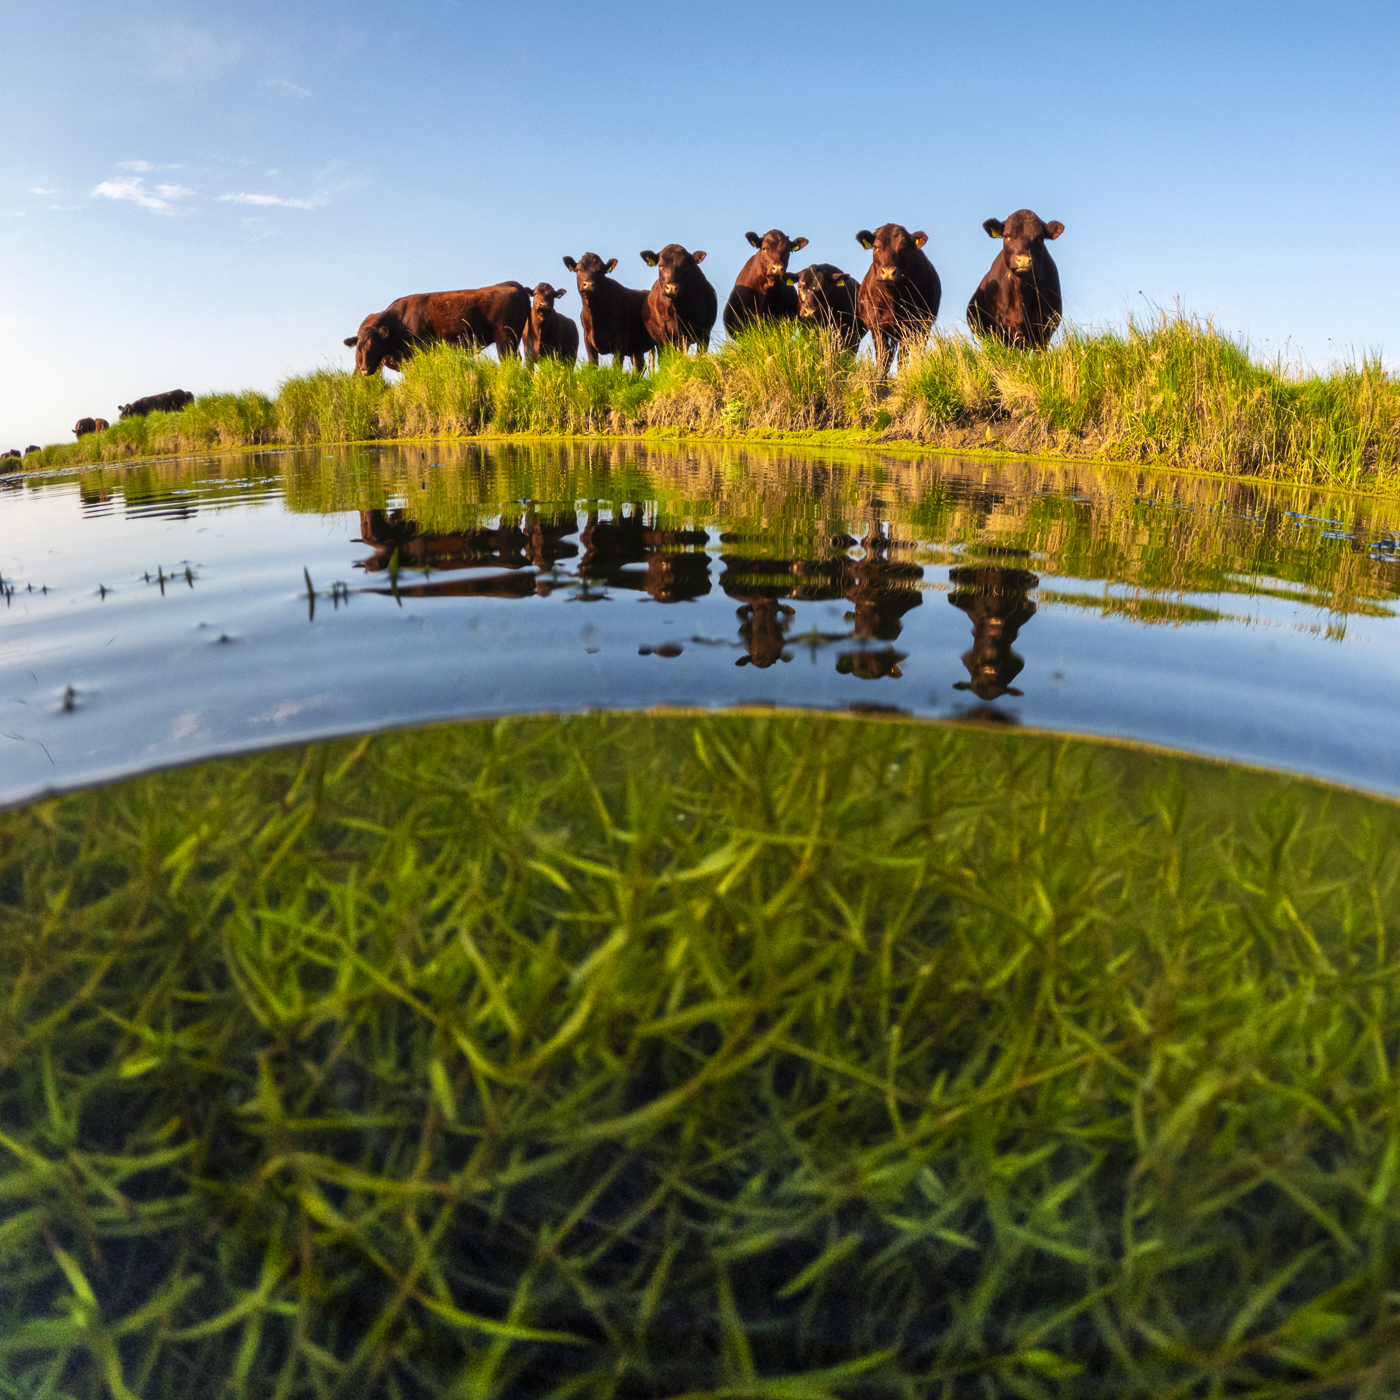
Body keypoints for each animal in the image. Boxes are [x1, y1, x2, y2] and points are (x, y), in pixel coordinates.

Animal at [343, 284, 531, 376]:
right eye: (360, 348)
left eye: (375, 346)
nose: (364, 370)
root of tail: (514, 287)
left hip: (505, 339)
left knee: (510, 360)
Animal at [855, 224, 941, 376]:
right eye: (876, 246)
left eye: (904, 248)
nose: (888, 272)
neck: (892, 299)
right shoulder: (877, 327)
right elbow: (882, 359)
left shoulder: (910, 326)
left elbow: (902, 359)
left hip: (924, 328)